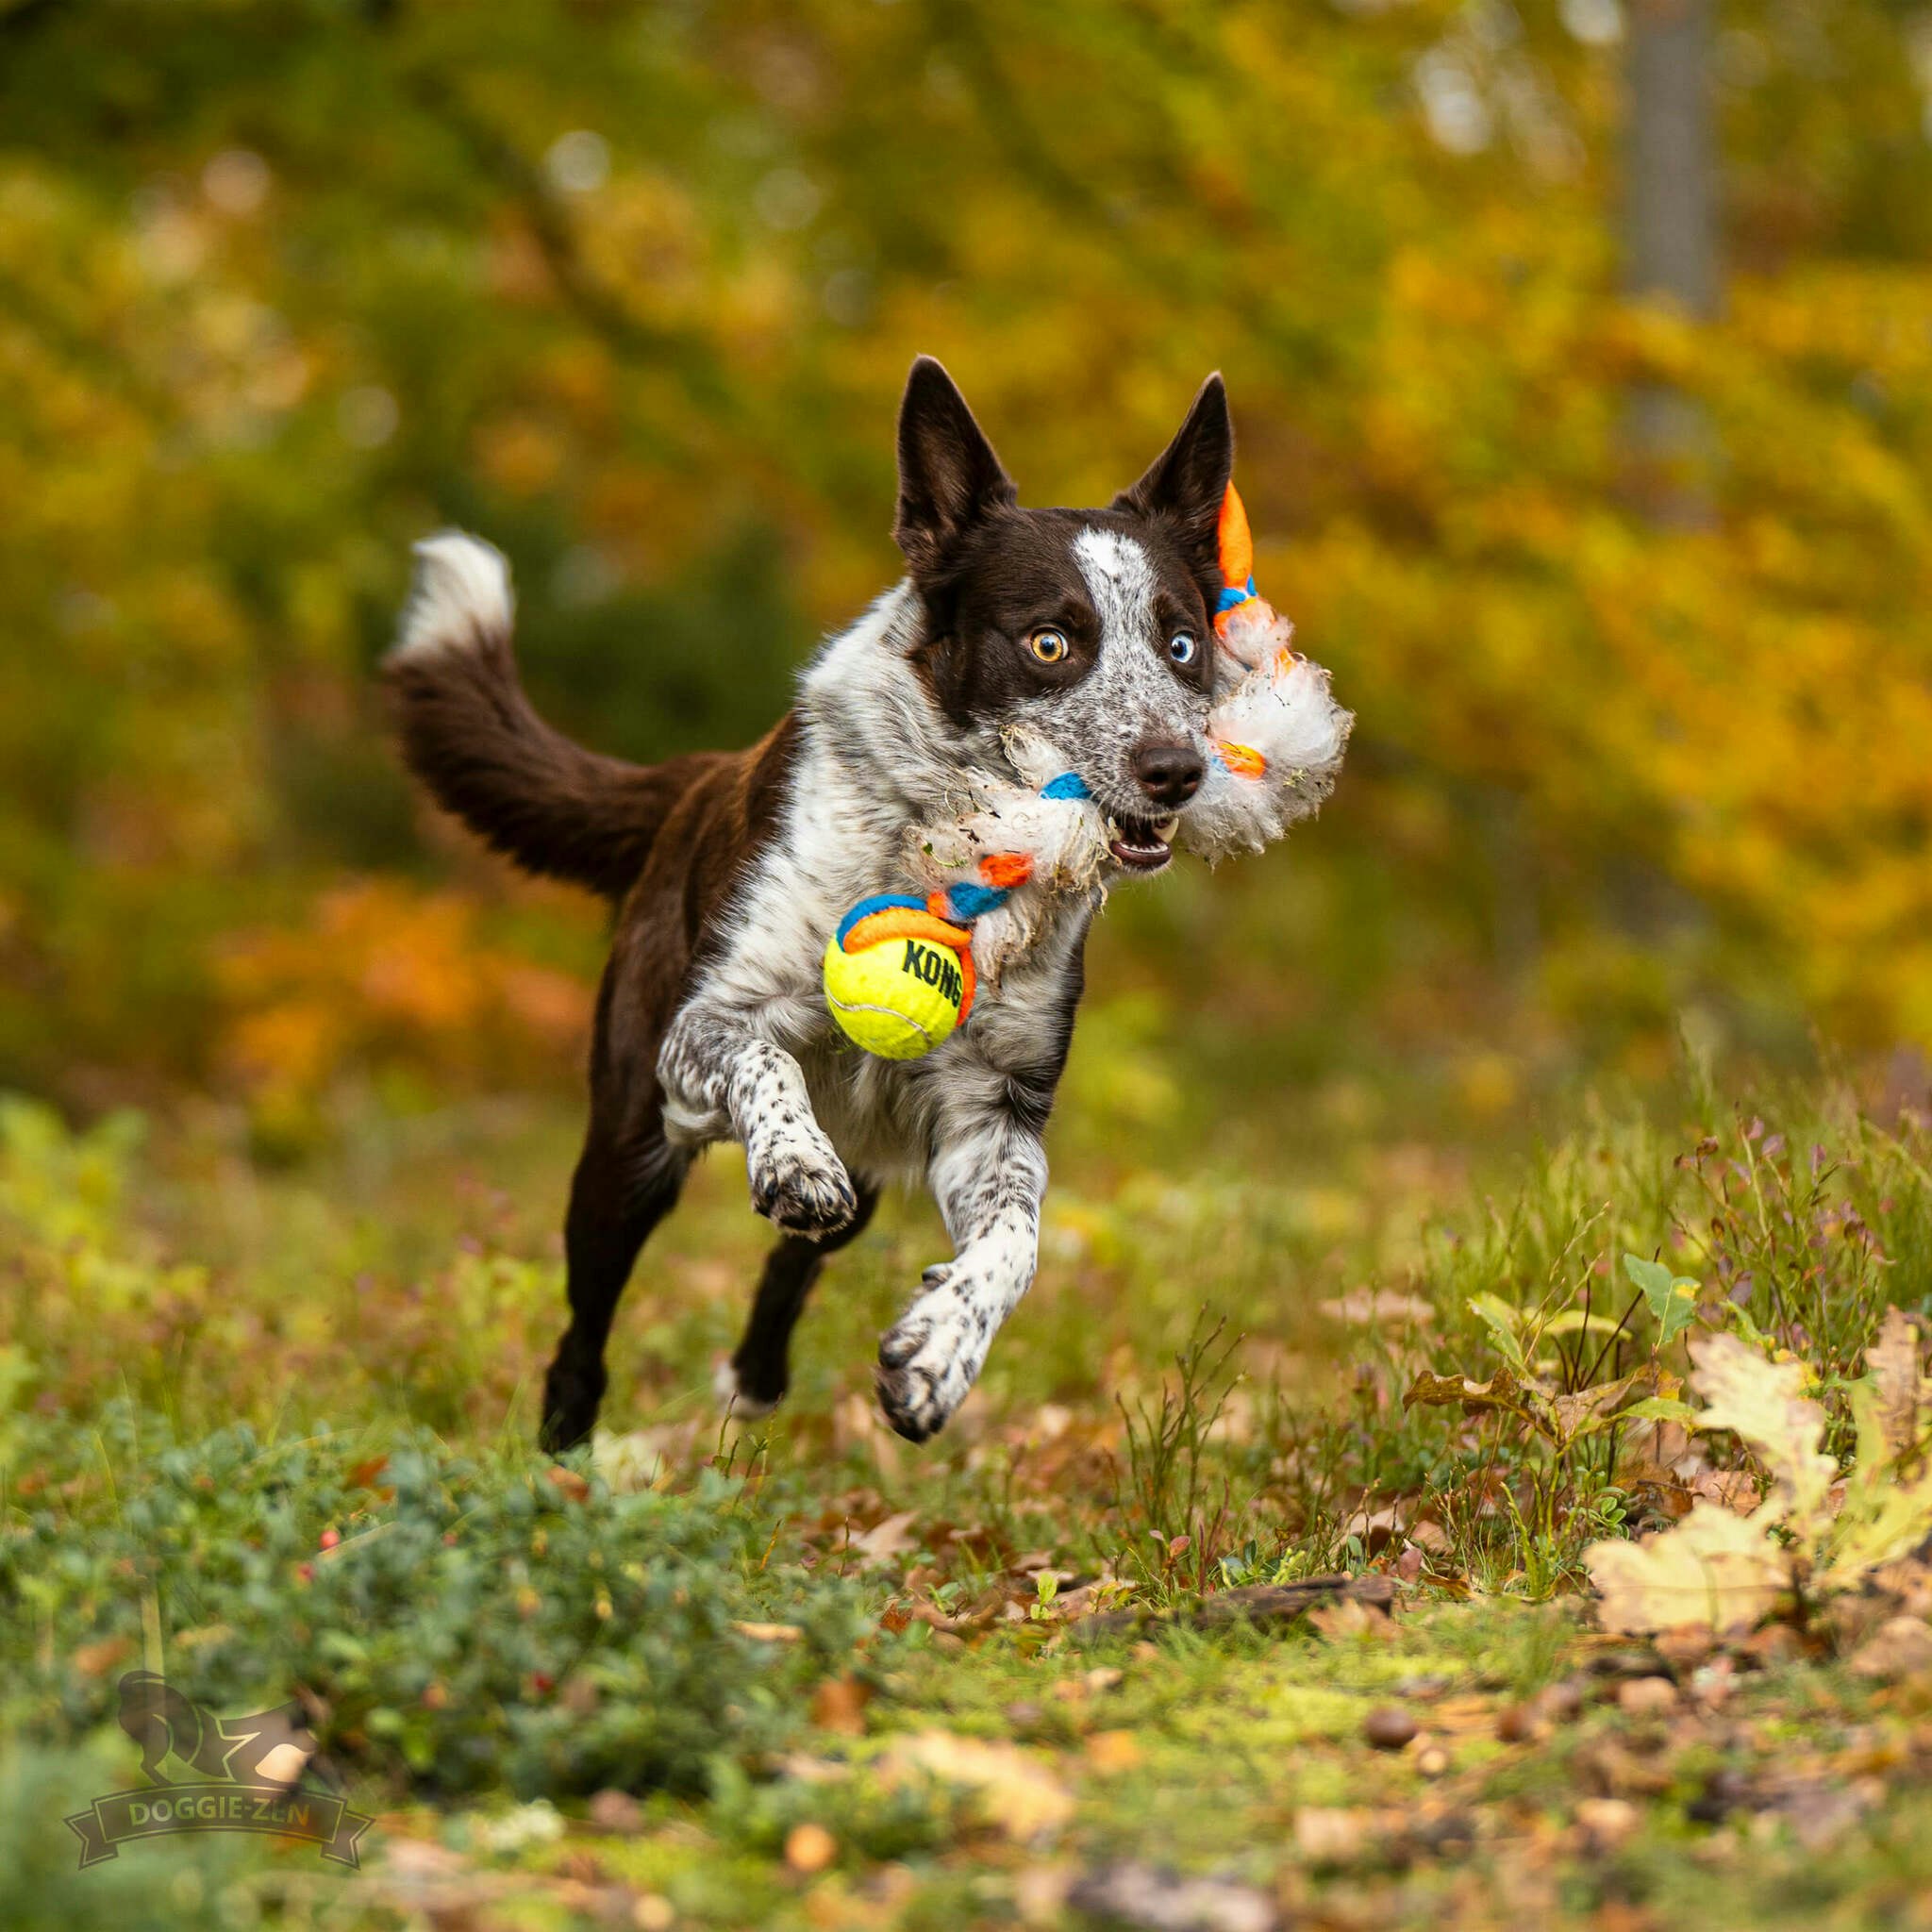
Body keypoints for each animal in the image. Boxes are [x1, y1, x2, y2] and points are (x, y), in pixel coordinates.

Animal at [388, 358, 1252, 1453]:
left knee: (808, 1255)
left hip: (874, 1153)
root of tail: (694, 778)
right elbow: (763, 1060)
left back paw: (755, 1380)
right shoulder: (703, 1026)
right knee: (585, 1330)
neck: (952, 850)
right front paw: (793, 1162)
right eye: (1050, 642)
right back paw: (564, 1454)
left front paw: (937, 1350)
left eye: (1179, 643)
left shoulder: (993, 1112)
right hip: (626, 1148)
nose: (1176, 771)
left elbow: (1017, 1237)